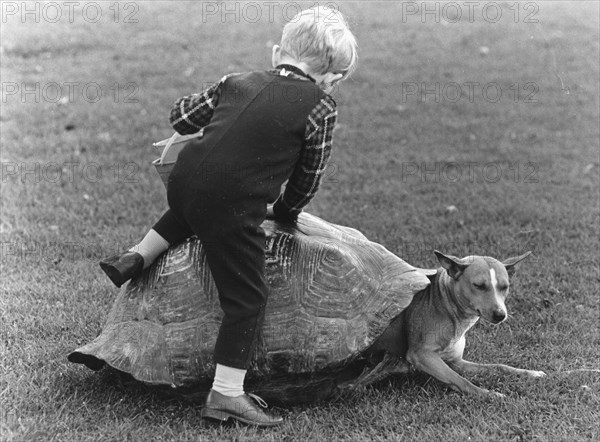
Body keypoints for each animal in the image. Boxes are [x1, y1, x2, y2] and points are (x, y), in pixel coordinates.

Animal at [346, 249, 548, 398]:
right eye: (479, 286)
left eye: (505, 287)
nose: (500, 314)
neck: (444, 306)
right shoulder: (422, 355)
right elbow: (460, 380)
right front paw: (488, 394)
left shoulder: (455, 361)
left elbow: (499, 366)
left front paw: (528, 373)